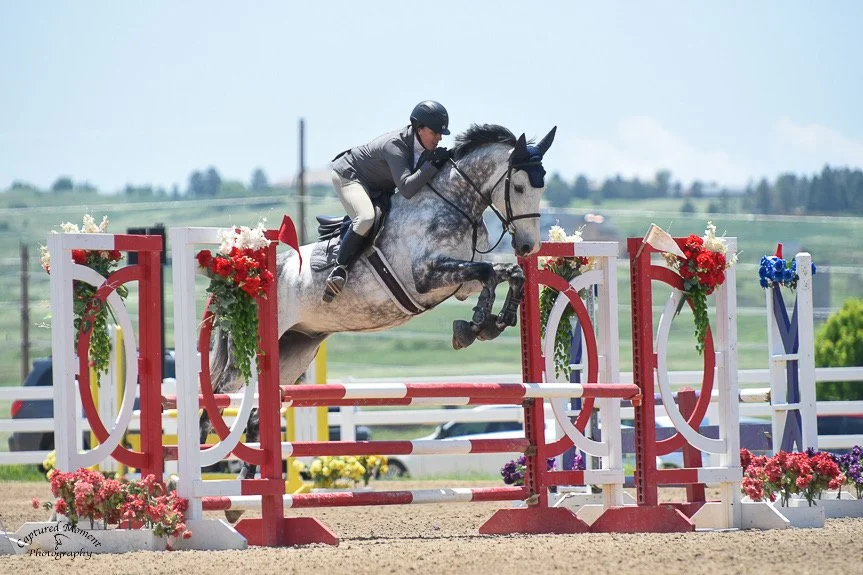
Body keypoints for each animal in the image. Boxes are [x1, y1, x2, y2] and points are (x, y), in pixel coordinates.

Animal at [202, 123, 557, 481]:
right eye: (518, 185)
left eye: (542, 186)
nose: (528, 247)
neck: (456, 204)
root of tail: (245, 271)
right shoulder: (424, 276)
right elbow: (487, 272)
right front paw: (474, 325)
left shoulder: (459, 284)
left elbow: (506, 274)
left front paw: (496, 321)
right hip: (255, 352)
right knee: (220, 397)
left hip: (294, 351)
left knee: (256, 413)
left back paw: (246, 486)